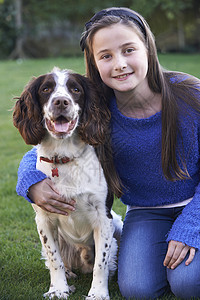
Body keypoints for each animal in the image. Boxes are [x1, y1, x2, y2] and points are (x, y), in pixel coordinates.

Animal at [12, 68, 122, 300]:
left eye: (75, 89)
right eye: (46, 89)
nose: (61, 102)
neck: (64, 157)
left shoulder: (103, 217)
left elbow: (101, 262)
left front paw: (98, 293)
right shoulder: (43, 219)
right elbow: (55, 259)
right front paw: (58, 289)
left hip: (117, 223)